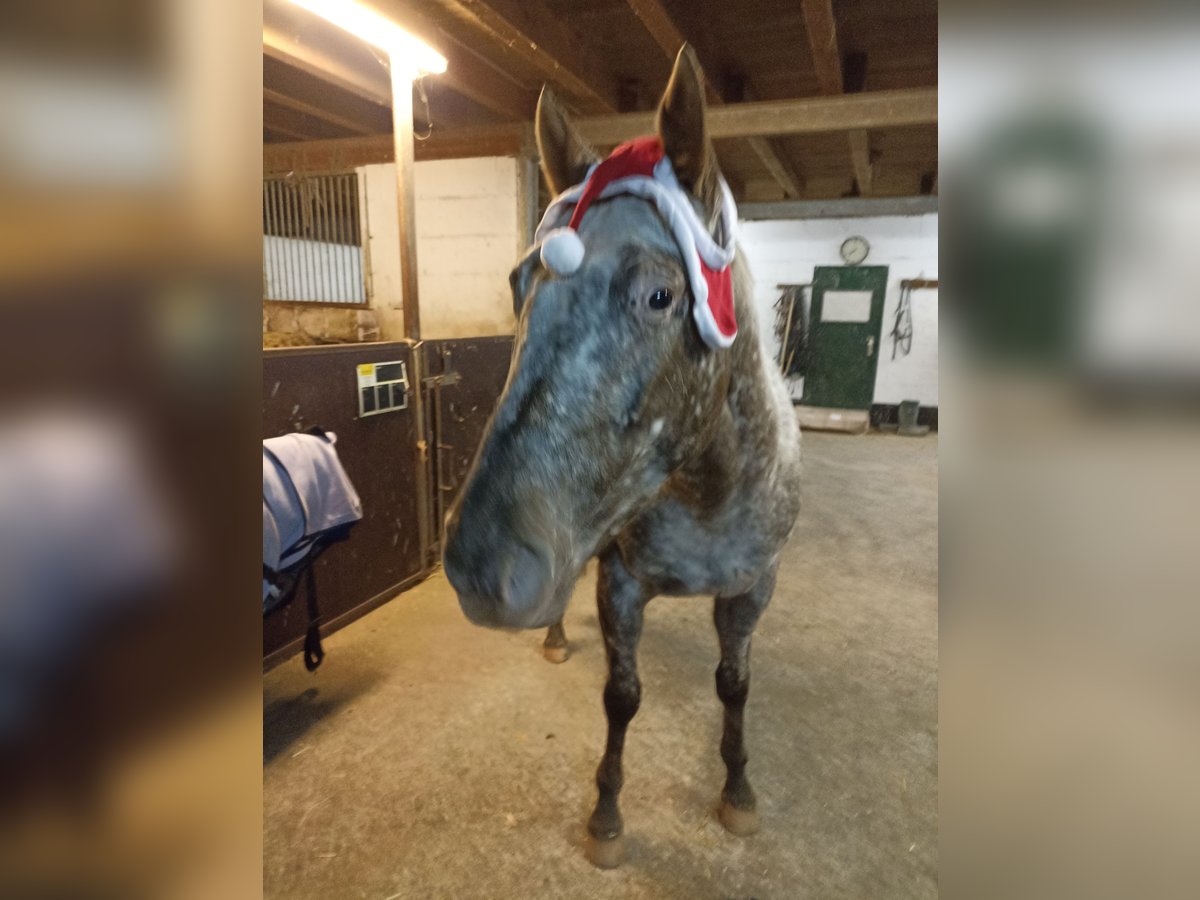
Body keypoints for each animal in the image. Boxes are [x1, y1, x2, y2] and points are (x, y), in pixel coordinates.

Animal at [446, 45, 801, 868]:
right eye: (518, 282)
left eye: (660, 296)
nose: (482, 567)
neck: (709, 494)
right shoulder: (621, 581)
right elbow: (622, 697)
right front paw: (606, 815)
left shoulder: (753, 589)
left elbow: (734, 684)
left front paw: (738, 792)